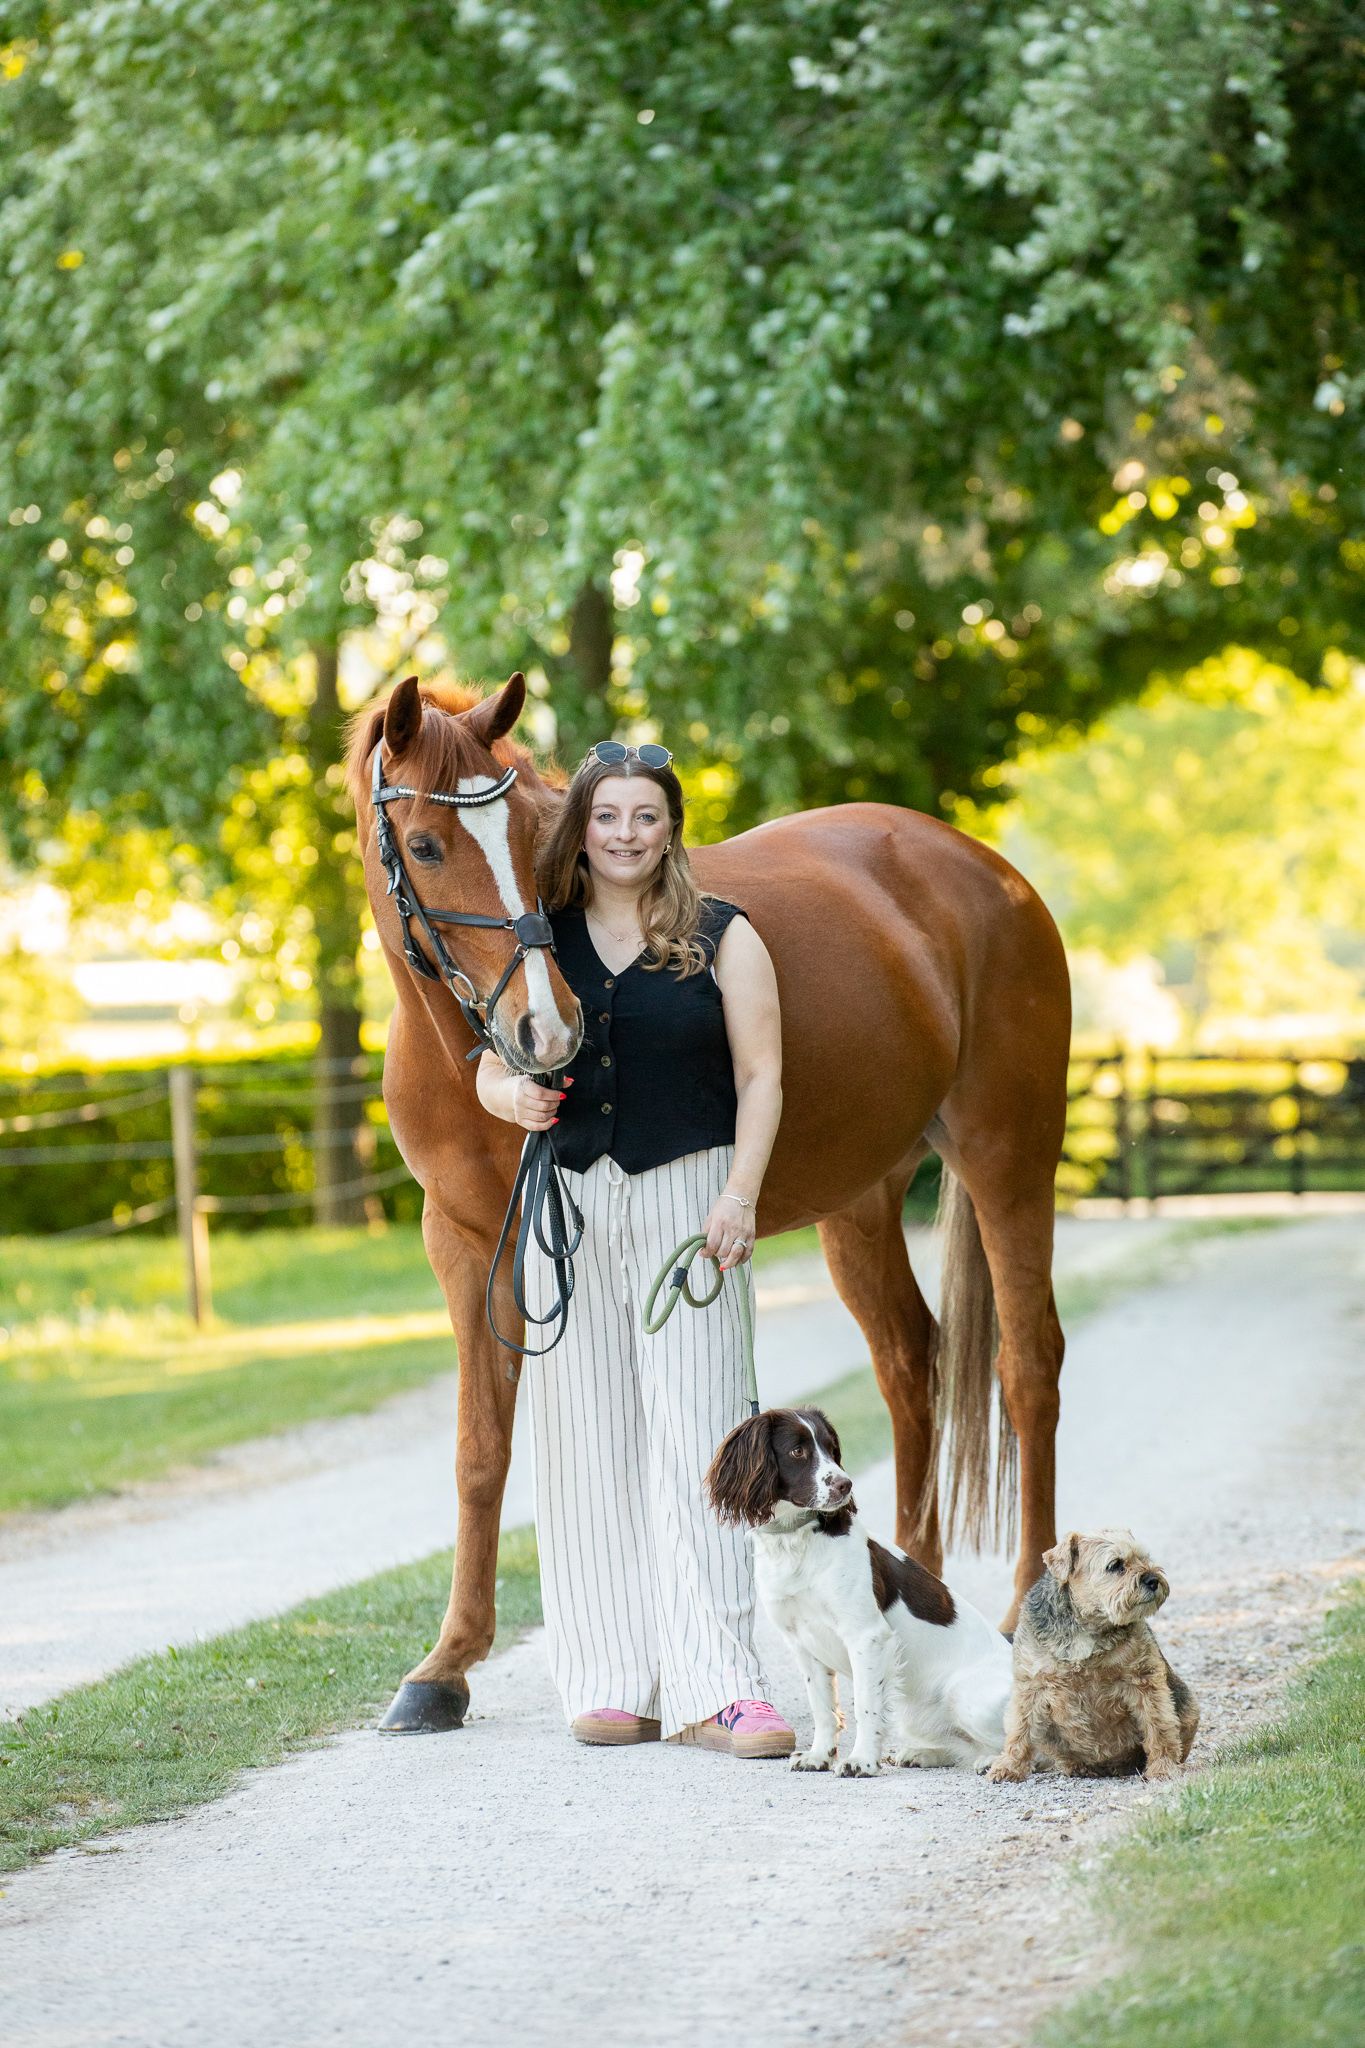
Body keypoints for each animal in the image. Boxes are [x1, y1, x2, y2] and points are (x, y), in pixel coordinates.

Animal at [346, 671, 1071, 1733]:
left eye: (533, 841)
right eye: (430, 846)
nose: (546, 1031)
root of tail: (990, 874)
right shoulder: (469, 1242)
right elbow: (481, 1454)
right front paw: (443, 1669)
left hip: (1006, 1158)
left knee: (1026, 1366)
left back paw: (1024, 1607)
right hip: (860, 1199)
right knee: (910, 1362)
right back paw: (912, 1577)